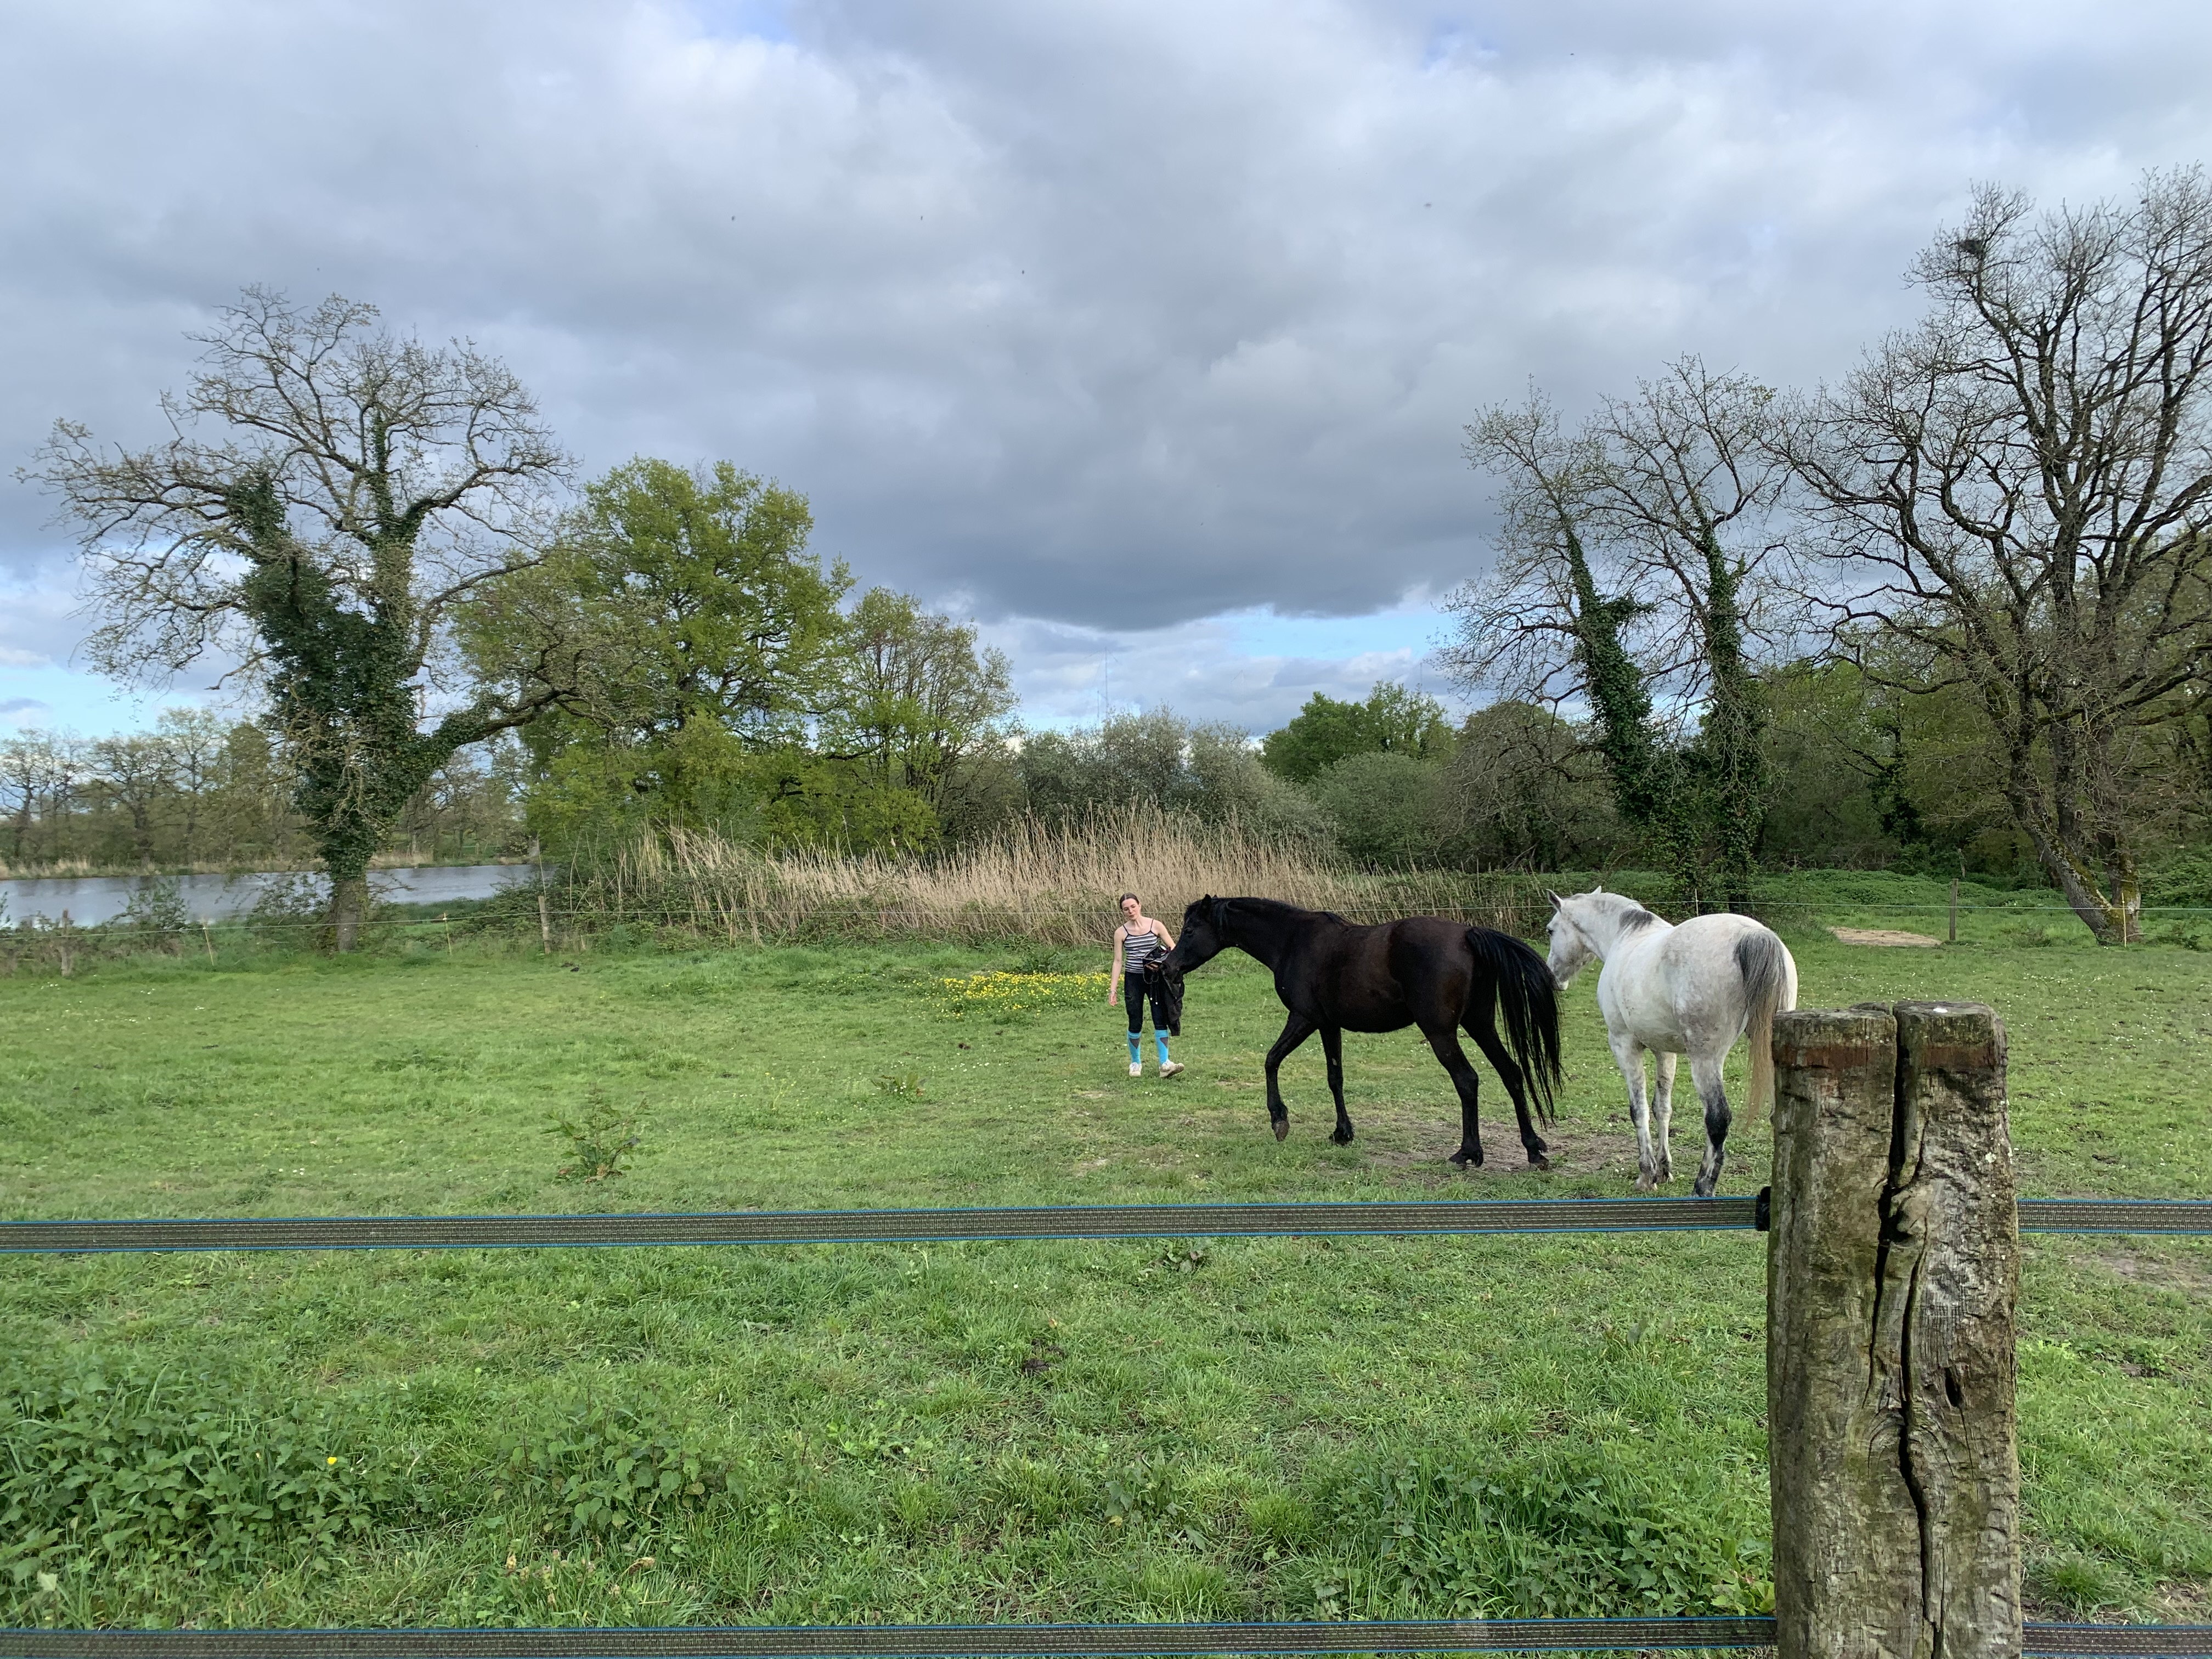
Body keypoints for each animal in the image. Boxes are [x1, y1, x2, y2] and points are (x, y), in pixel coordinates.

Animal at [1160, 896, 1563, 1169]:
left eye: (1190, 930)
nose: (1167, 967)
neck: (1292, 939)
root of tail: (1467, 934)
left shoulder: (1304, 1018)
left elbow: (1271, 1060)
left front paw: (1279, 1120)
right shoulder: (1328, 1024)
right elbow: (1335, 1077)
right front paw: (1343, 1133)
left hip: (1441, 1033)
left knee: (1467, 1080)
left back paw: (1468, 1153)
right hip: (1480, 1025)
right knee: (1511, 1073)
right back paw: (1532, 1149)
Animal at [1544, 888, 1798, 1198]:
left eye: (1551, 930)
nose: (1552, 978)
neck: (1623, 937)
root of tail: (1754, 935)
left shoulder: (1624, 1045)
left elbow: (1639, 1110)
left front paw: (1646, 1174)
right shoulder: (1665, 1051)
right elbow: (1662, 1108)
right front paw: (1664, 1170)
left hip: (1706, 1059)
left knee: (1718, 1119)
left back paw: (1702, 1188)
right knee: (1779, 1115)